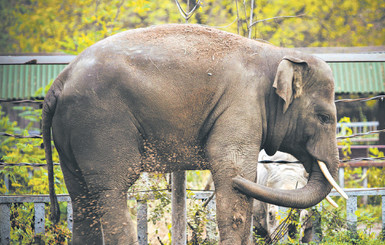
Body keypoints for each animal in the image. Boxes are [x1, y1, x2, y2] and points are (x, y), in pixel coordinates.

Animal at [42, 23, 344, 245]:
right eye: (324, 118)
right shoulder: (241, 106)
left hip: (71, 133)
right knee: (111, 190)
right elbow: (235, 171)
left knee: (81, 197)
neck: (278, 55)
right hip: (99, 123)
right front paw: (236, 180)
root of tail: (59, 82)